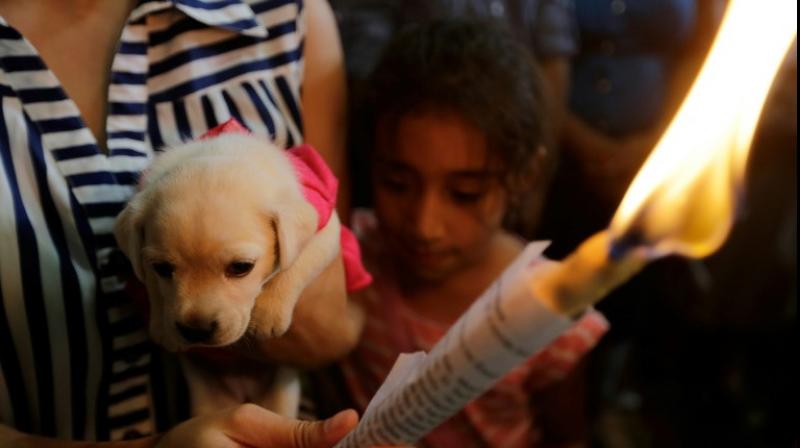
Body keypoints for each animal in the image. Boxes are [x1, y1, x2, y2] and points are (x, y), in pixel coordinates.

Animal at [113, 132, 360, 416]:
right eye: (163, 268)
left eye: (241, 267)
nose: (196, 330)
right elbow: (152, 286)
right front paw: (161, 325)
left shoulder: (326, 229)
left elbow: (295, 262)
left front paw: (268, 312)